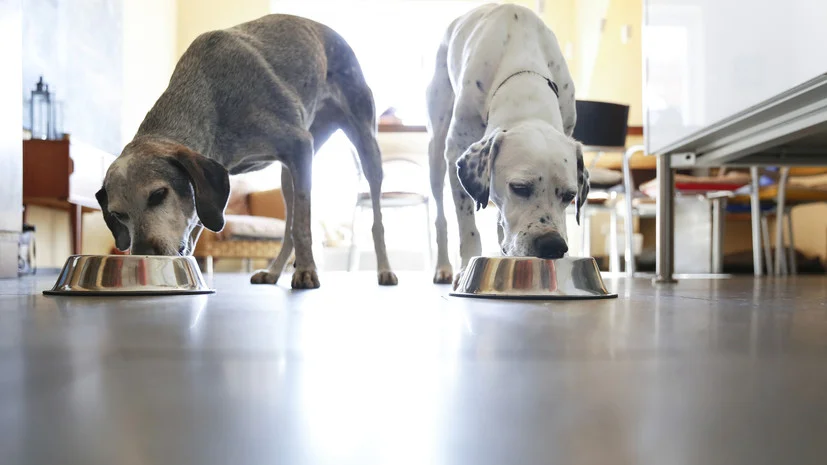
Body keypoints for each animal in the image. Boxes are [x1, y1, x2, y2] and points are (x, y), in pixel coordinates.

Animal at [426, 3, 588, 284]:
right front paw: (466, 267)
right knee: (440, 217)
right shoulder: (456, 151)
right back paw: (443, 267)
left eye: (569, 195)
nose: (553, 246)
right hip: (436, 150)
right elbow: (467, 225)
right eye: (520, 188)